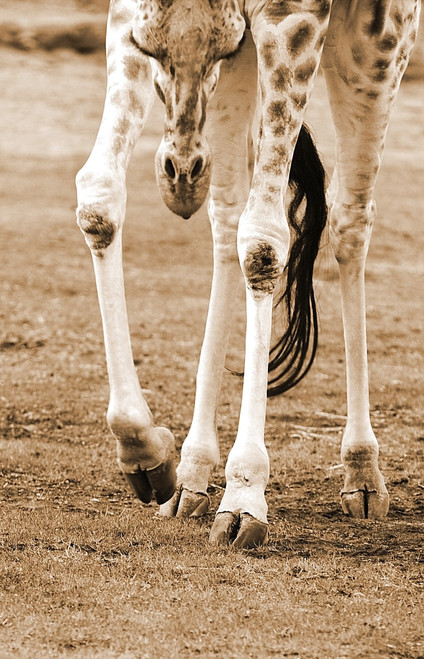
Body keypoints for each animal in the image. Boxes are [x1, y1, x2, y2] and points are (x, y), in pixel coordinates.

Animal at [76, 0, 420, 548]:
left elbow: (263, 243)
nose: (181, 178)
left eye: (220, 49)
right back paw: (191, 477)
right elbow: (99, 200)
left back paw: (363, 475)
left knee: (350, 219)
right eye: (149, 49)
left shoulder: (290, 21)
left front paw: (243, 497)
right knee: (226, 214)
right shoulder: (132, 18)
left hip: (379, 41)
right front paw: (145, 450)